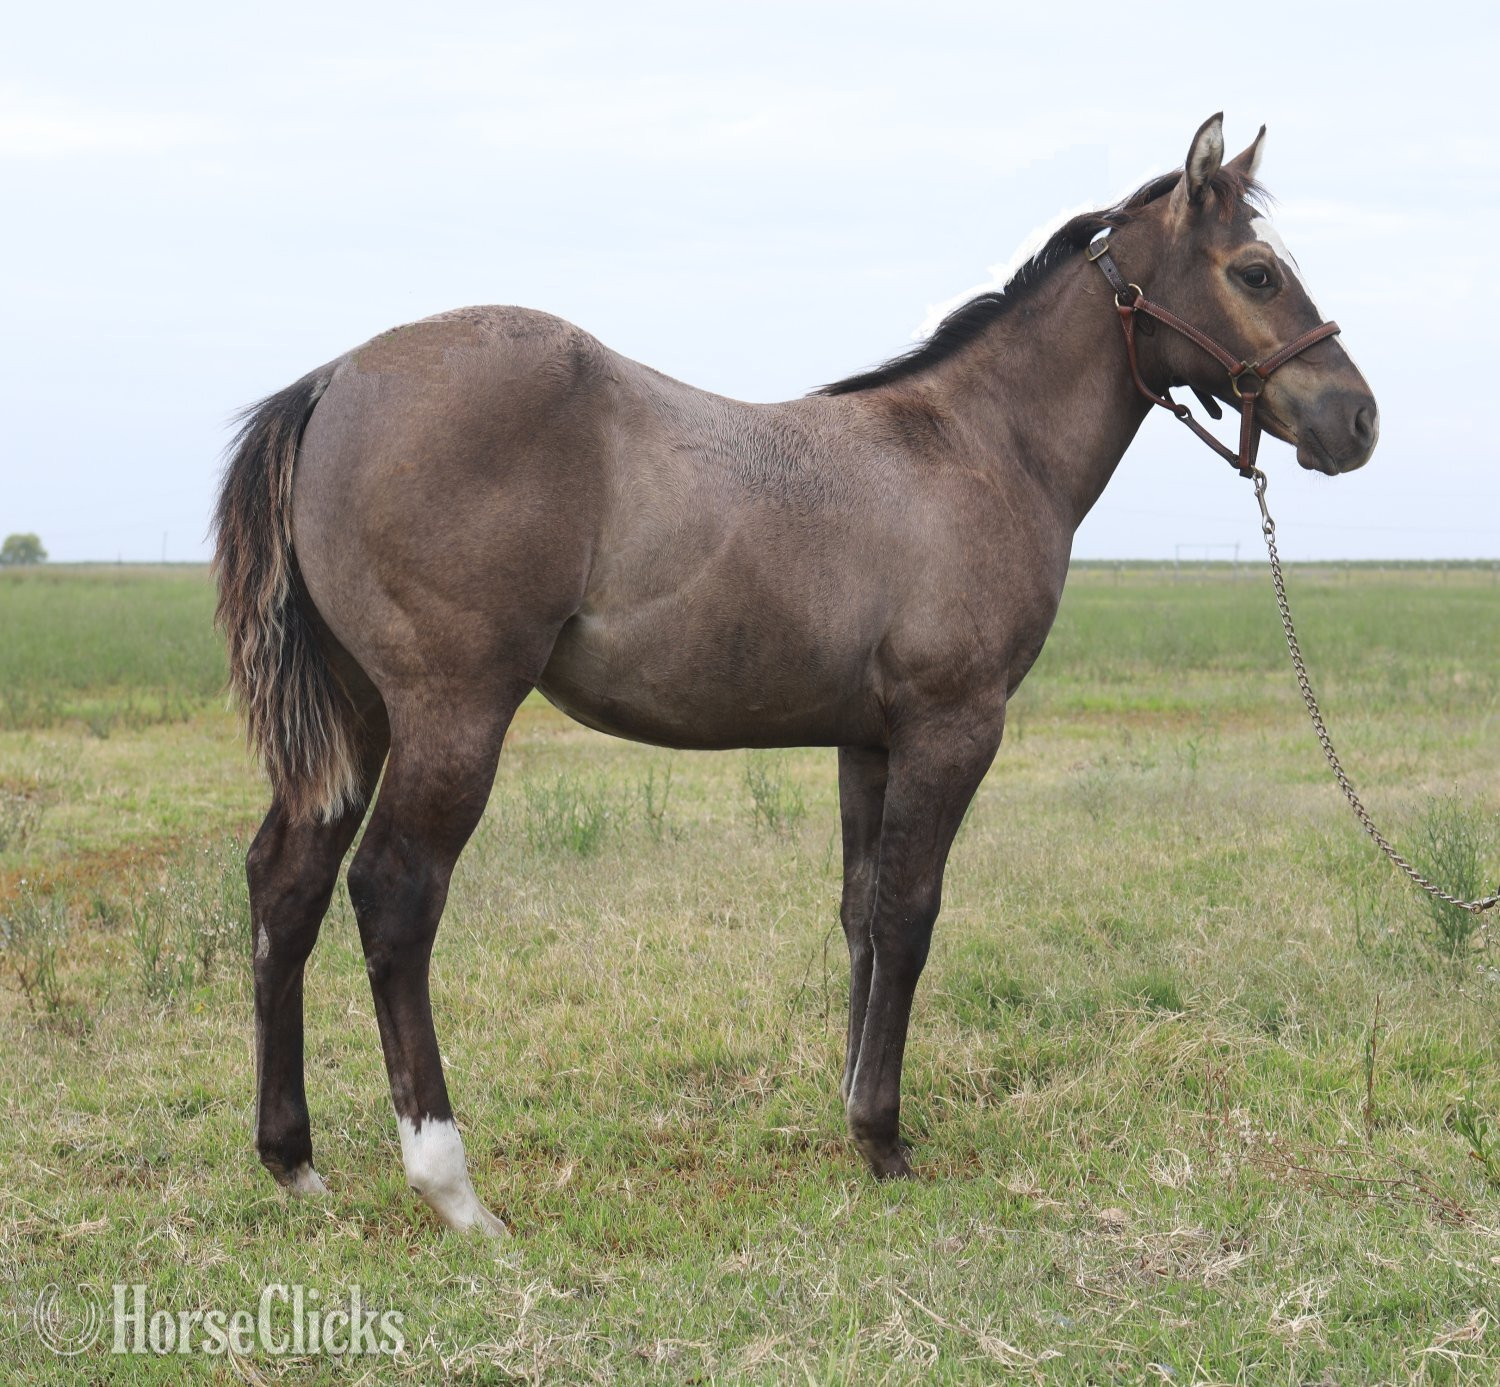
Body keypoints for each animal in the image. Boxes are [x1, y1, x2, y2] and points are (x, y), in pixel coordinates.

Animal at [213, 115, 1378, 1235]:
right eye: (1258, 272)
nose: (1358, 419)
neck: (977, 446)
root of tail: (334, 377)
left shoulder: (867, 739)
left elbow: (861, 915)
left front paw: (856, 1120)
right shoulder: (953, 727)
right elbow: (910, 914)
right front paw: (887, 1138)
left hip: (360, 717)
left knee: (287, 882)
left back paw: (294, 1162)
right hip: (452, 711)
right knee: (394, 894)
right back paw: (453, 1190)